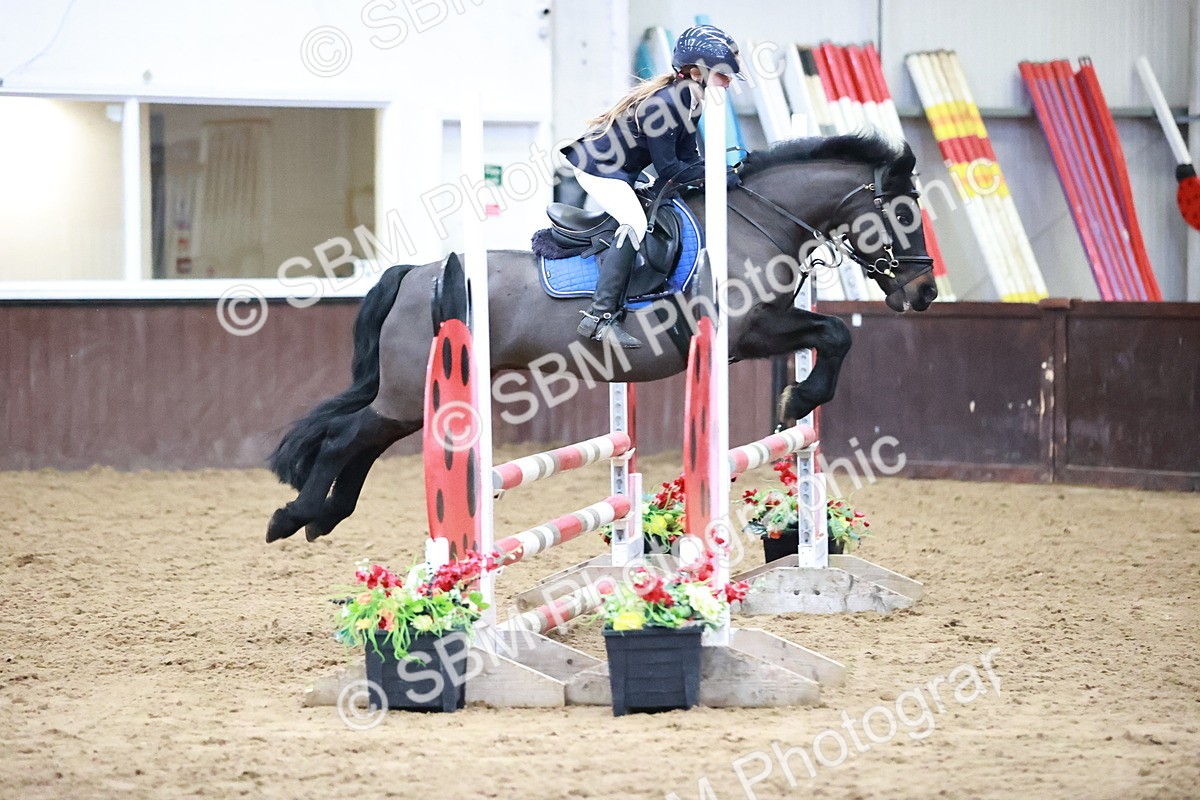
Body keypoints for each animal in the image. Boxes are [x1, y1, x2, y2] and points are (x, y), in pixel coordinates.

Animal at [266, 133, 939, 543]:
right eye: (904, 213)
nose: (925, 294)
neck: (756, 223)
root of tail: (419, 273)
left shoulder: (769, 324)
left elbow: (832, 334)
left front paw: (798, 401)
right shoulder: (746, 333)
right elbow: (835, 332)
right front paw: (799, 399)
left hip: (413, 396)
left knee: (364, 440)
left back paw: (321, 515)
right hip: (412, 390)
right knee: (348, 437)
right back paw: (295, 514)